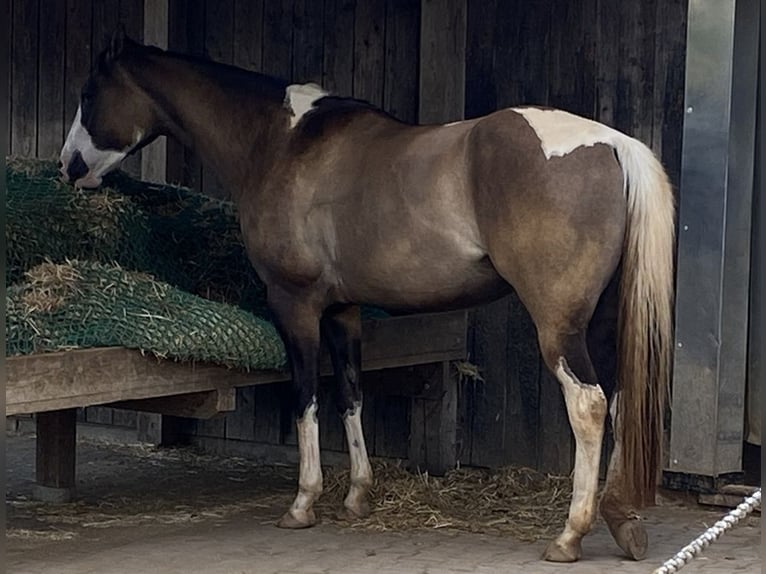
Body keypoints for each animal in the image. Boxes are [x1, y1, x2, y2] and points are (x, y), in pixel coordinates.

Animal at [59, 28, 674, 563]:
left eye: (89, 93)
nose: (69, 167)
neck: (282, 143)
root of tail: (612, 143)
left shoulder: (295, 304)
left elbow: (306, 395)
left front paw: (303, 503)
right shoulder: (342, 310)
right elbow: (351, 393)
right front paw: (357, 495)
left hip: (559, 324)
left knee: (589, 406)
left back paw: (570, 535)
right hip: (602, 321)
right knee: (619, 399)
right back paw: (621, 521)